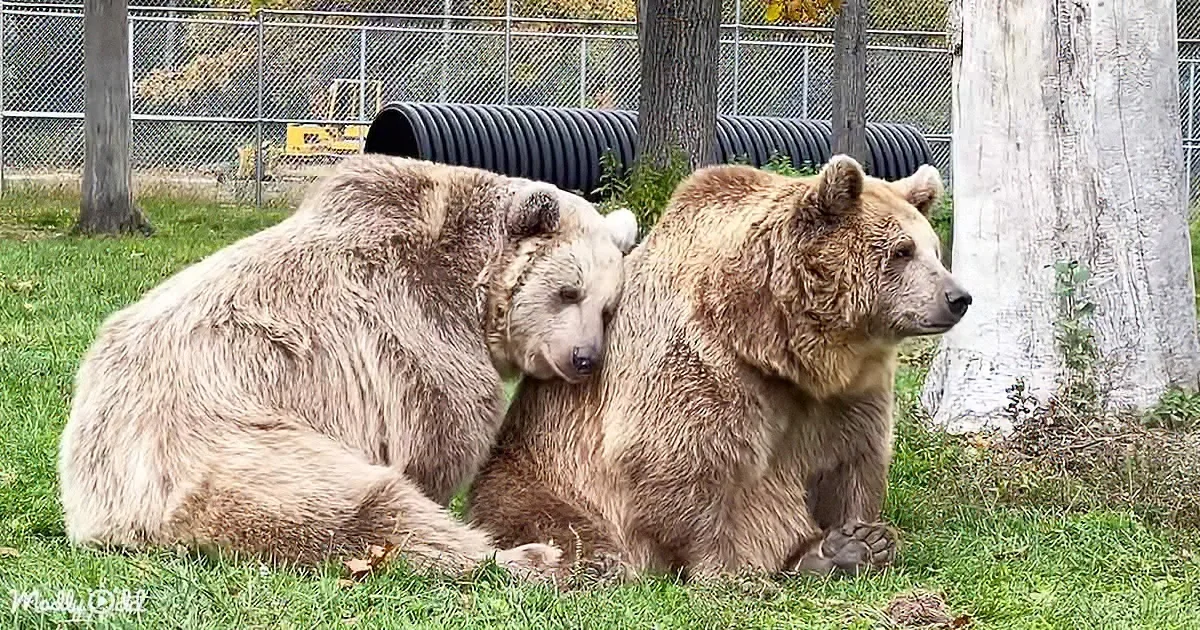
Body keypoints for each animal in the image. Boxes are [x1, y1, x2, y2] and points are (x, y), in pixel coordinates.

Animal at [56, 154, 639, 581]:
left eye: (608, 307)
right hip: (230, 445)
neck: (471, 286)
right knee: (363, 511)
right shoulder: (415, 330)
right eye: (568, 291)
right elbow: (440, 433)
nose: (584, 358)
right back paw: (532, 558)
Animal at [465, 154, 972, 582]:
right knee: (551, 520)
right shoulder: (699, 360)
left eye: (934, 248)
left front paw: (860, 538)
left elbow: (851, 459)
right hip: (541, 474)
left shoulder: (847, 391)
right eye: (902, 251)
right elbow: (682, 461)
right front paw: (735, 571)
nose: (958, 296)